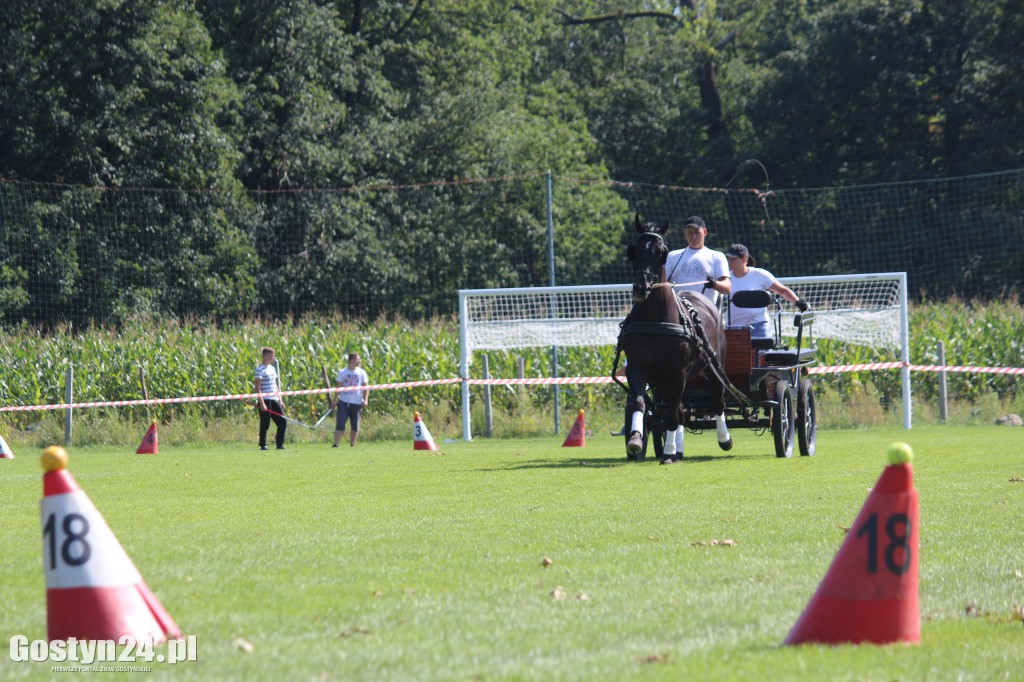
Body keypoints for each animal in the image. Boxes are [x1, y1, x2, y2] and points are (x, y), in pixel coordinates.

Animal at [618, 214, 733, 462]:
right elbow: (640, 402)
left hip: (712, 368)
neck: (655, 320)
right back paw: (677, 449)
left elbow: (672, 413)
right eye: (633, 250)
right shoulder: (637, 368)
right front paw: (635, 439)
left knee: (717, 401)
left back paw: (723, 439)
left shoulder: (677, 372)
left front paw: (669, 452)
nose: (641, 287)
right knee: (679, 409)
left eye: (661, 252)